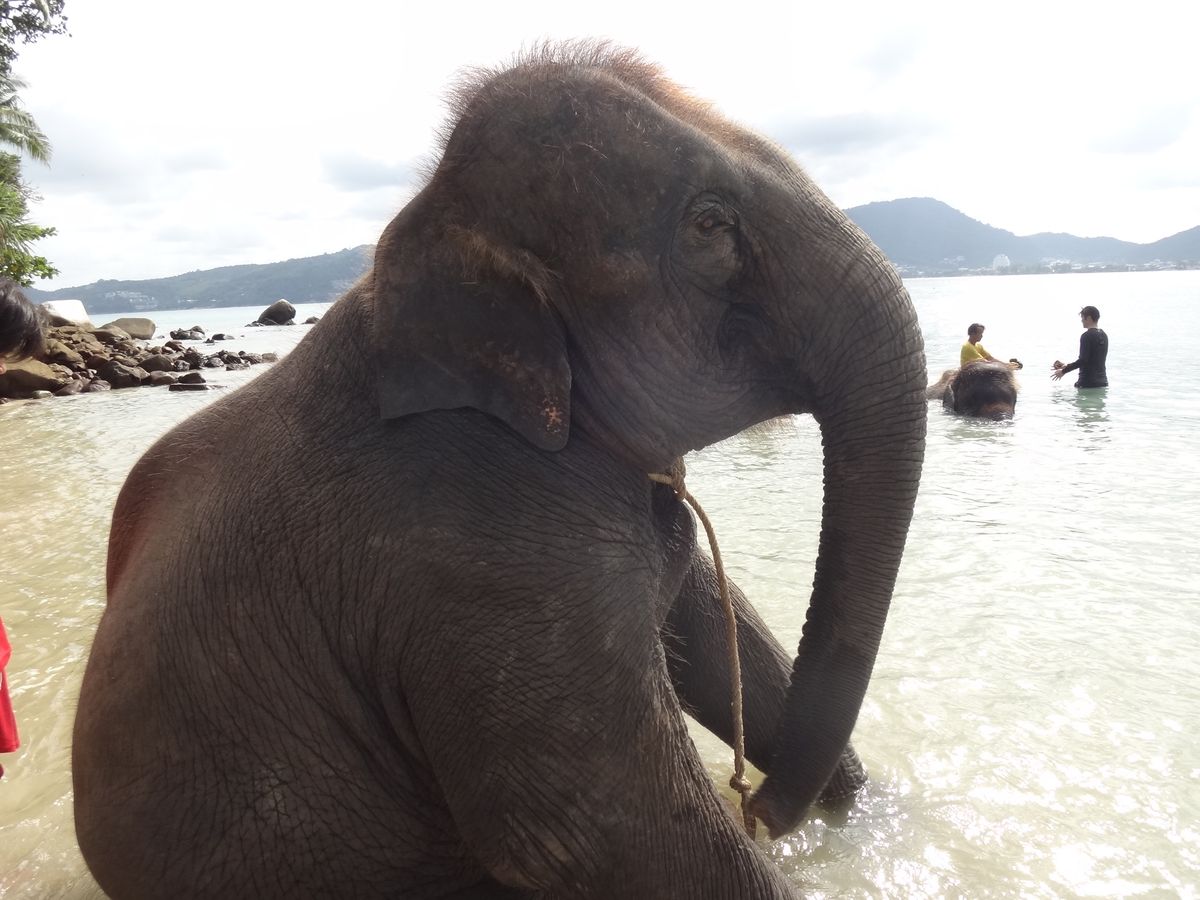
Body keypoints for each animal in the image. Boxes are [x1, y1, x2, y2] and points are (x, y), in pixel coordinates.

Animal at [72, 44, 927, 899]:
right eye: (711, 224)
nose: (763, 807)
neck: (436, 221)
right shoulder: (481, 566)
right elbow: (608, 836)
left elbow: (721, 629)